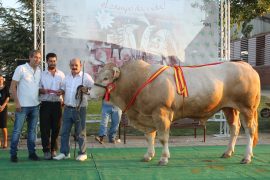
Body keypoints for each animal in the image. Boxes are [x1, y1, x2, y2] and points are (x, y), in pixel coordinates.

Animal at [89, 59, 260, 165]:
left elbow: (163, 138)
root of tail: (246, 65)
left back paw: (246, 157)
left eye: (106, 78)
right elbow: (149, 137)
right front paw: (148, 156)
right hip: (229, 108)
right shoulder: (147, 115)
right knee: (234, 129)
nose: (89, 93)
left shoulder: (162, 113)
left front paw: (164, 158)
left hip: (247, 108)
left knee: (249, 131)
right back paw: (228, 152)